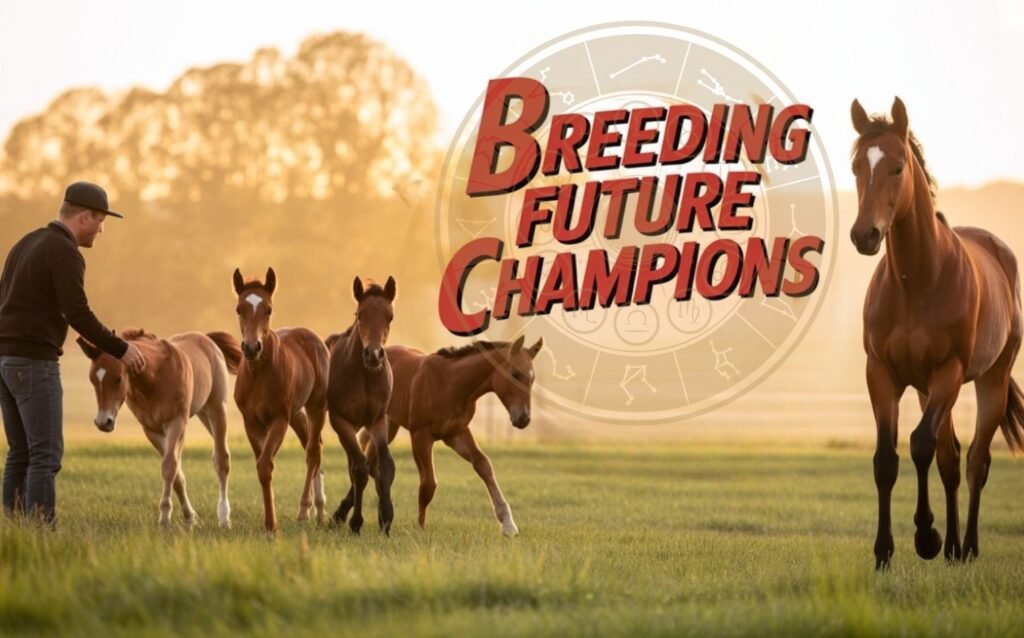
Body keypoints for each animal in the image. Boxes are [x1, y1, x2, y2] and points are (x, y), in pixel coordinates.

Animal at [77, 329, 240, 528]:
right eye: (92, 379)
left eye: (118, 378)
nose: (103, 422)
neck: (154, 380)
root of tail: (205, 337)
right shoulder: (151, 430)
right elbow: (176, 474)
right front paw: (189, 517)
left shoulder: (176, 422)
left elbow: (169, 466)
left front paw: (164, 519)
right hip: (203, 414)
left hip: (217, 409)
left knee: (221, 459)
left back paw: (224, 518)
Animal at [231, 267, 330, 534]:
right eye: (239, 309)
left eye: (268, 309)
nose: (251, 347)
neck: (259, 373)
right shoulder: (250, 422)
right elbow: (261, 463)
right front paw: (269, 520)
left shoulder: (278, 420)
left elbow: (266, 465)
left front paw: (271, 525)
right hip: (295, 414)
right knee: (311, 443)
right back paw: (318, 510)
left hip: (316, 406)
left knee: (313, 450)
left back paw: (306, 510)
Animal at [325, 276, 397, 535]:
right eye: (360, 315)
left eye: (390, 316)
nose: (374, 355)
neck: (365, 376)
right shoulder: (340, 420)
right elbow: (359, 469)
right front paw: (356, 523)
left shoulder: (378, 420)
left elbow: (384, 467)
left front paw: (386, 519)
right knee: (355, 465)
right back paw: (339, 516)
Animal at [332, 335, 542, 537]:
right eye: (514, 374)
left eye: (532, 379)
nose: (523, 419)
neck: (450, 384)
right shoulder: (421, 435)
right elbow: (428, 484)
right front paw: (419, 528)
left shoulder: (456, 434)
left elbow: (483, 465)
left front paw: (508, 524)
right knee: (369, 463)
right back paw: (344, 516)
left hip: (389, 426)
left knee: (371, 463)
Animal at [850, 97, 1024, 568]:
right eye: (856, 166)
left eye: (897, 167)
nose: (865, 235)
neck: (916, 280)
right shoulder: (882, 375)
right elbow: (887, 459)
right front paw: (884, 552)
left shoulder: (948, 372)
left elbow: (921, 444)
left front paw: (925, 535)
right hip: (931, 389)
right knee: (951, 458)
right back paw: (950, 549)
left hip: (988, 380)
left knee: (976, 460)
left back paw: (967, 547)